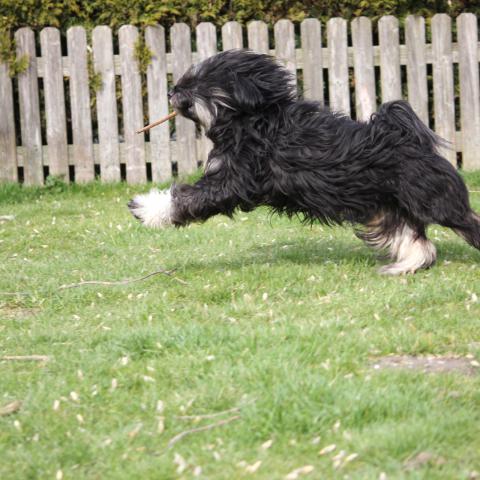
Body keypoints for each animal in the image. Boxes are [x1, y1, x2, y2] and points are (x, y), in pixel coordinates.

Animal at [128, 49, 480, 276]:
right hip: (386, 208)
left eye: (199, 81)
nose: (172, 90)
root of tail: (412, 141)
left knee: (465, 223)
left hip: (434, 202)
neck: (251, 120)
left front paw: (146, 208)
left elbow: (188, 198)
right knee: (419, 243)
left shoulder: (234, 181)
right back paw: (402, 267)